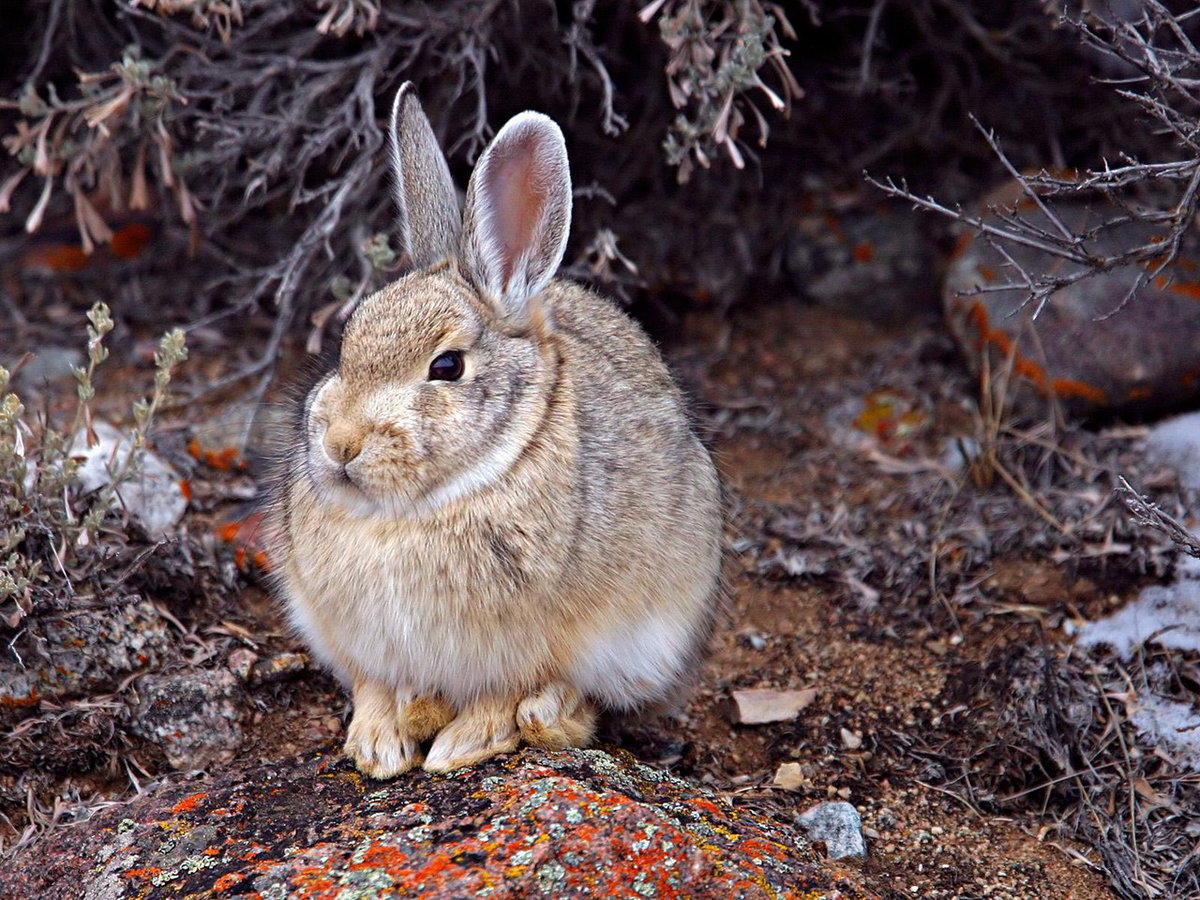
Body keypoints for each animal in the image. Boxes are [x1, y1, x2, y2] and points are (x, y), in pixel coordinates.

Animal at [270, 81, 720, 777]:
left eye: (447, 366)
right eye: (346, 344)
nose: (341, 444)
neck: (410, 513)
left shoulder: (530, 645)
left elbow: (501, 695)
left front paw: (458, 748)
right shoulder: (357, 640)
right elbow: (372, 686)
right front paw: (377, 746)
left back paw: (543, 717)